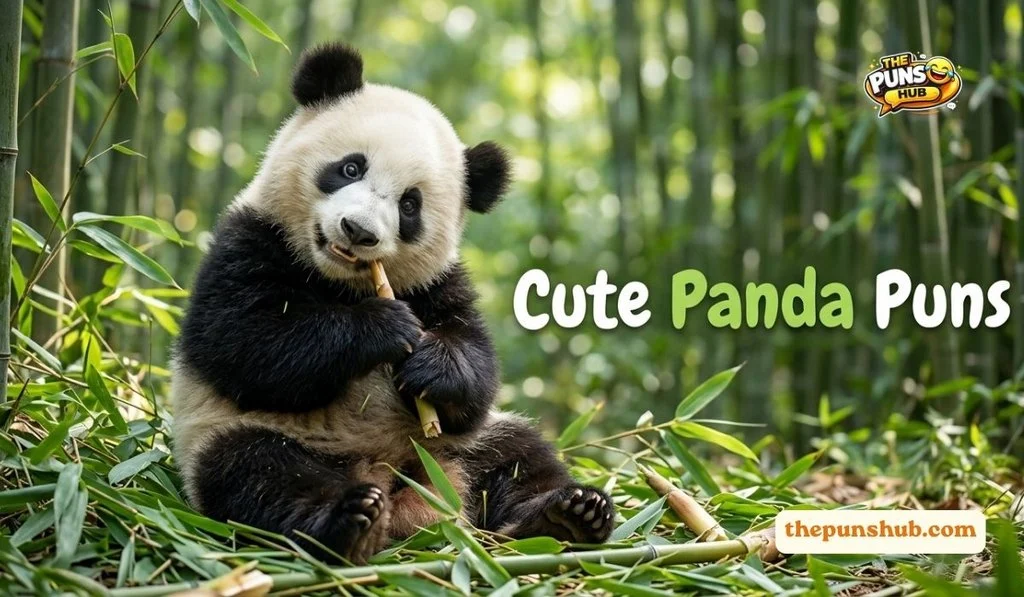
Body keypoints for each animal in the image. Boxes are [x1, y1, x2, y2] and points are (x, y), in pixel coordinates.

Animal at [171, 43, 615, 564]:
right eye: (350, 168)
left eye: (409, 205)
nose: (358, 231)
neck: (341, 282)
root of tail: (400, 483)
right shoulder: (247, 240)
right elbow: (243, 342)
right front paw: (383, 329)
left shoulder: (437, 282)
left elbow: (477, 372)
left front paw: (432, 364)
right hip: (235, 434)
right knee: (260, 473)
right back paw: (349, 522)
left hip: (463, 446)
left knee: (519, 457)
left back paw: (569, 516)